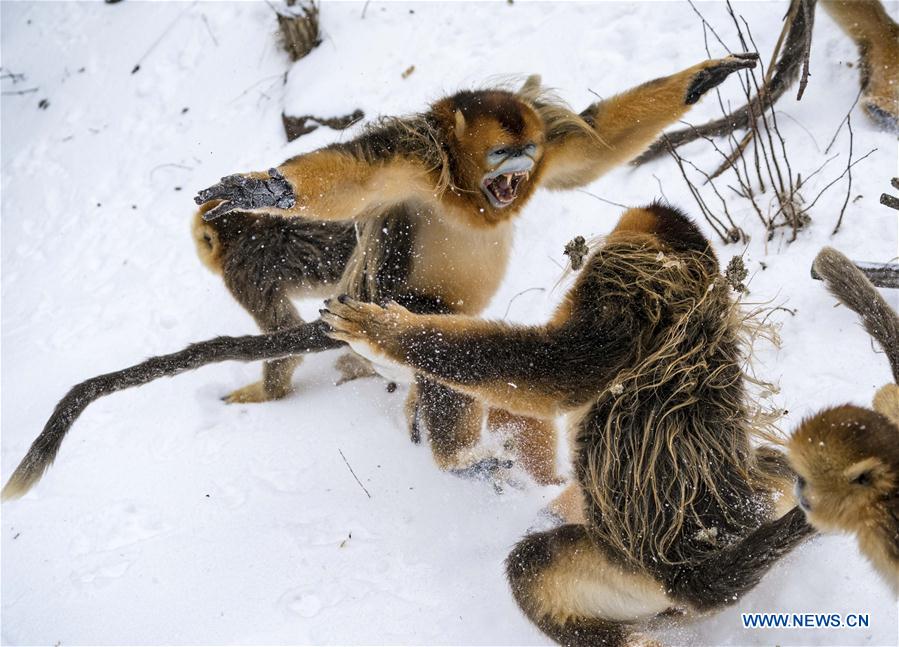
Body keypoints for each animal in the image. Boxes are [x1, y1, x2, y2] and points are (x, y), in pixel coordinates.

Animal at [2, 55, 761, 501]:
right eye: (501, 154)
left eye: (523, 151)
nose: (518, 169)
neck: (464, 193)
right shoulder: (411, 160)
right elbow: (350, 179)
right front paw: (268, 189)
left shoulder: (551, 144)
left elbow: (591, 151)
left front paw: (706, 78)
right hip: (383, 302)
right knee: (436, 337)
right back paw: (463, 457)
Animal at [321, 202, 815, 646]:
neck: (688, 277)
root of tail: (696, 574)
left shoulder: (617, 289)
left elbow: (545, 369)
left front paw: (381, 331)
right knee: (774, 465)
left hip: (623, 573)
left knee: (531, 562)